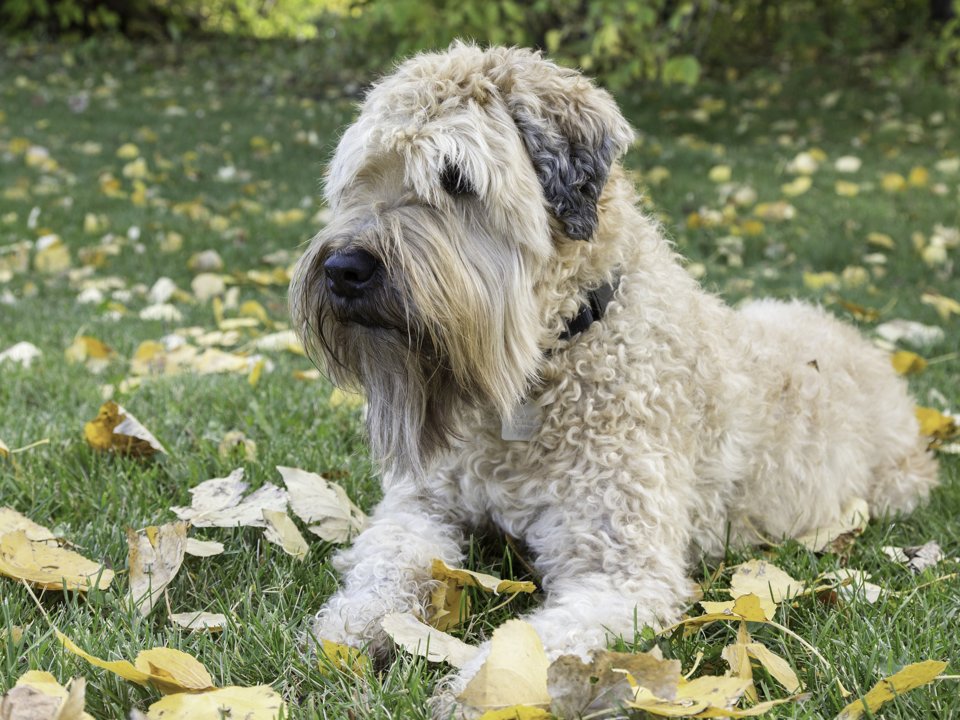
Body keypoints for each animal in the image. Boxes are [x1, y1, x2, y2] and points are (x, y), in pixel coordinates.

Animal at [288, 43, 940, 708]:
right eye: (361, 175)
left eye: (456, 179)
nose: (344, 268)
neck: (552, 357)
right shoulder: (422, 504)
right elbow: (387, 561)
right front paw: (352, 629)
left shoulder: (619, 570)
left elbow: (534, 645)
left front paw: (479, 692)